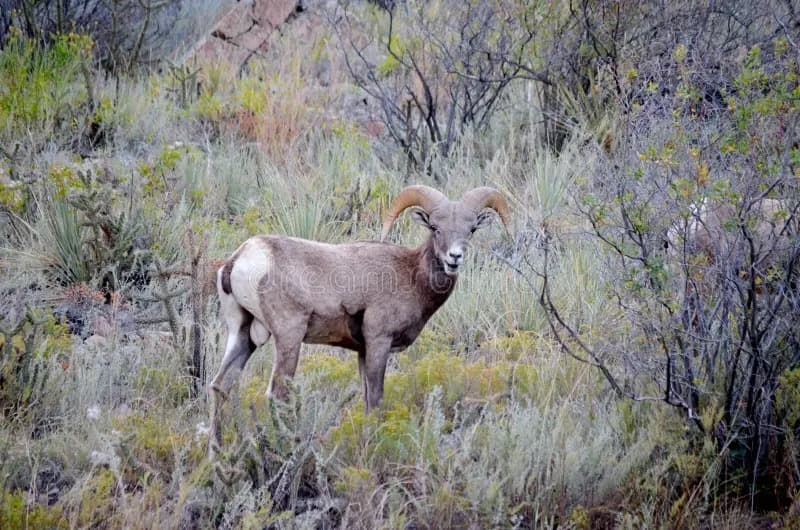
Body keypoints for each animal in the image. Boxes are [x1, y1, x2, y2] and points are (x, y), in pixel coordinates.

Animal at [208, 185, 510, 449]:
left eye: (470, 230)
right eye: (435, 228)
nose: (454, 258)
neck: (411, 276)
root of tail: (240, 259)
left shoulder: (362, 351)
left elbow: (366, 399)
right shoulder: (378, 342)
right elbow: (375, 399)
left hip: (243, 335)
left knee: (220, 386)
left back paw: (217, 453)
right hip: (288, 337)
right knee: (278, 395)